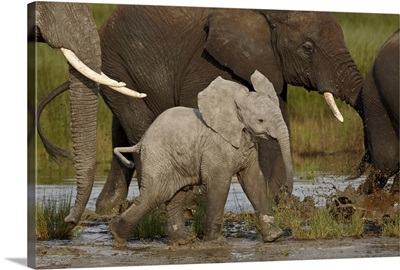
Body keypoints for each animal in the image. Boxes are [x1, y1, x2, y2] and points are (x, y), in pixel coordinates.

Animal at [95, 4, 364, 215]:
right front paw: (197, 204)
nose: (348, 189)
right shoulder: (207, 61)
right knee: (138, 124)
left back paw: (107, 208)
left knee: (121, 130)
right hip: (113, 60)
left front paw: (277, 201)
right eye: (307, 48)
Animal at [108, 70, 292, 248]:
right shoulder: (215, 148)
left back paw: (182, 241)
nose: (284, 191)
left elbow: (254, 181)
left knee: (176, 197)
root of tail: (141, 141)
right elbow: (219, 184)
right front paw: (216, 242)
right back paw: (117, 235)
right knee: (154, 195)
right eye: (261, 120)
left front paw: (275, 236)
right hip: (158, 158)